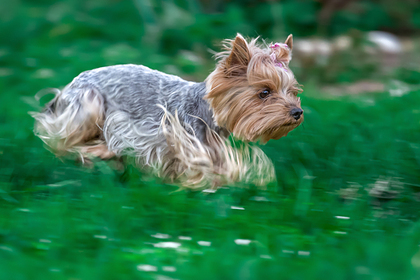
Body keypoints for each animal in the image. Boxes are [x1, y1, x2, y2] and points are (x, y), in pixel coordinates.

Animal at [32, 34, 302, 189]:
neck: (205, 112)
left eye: (292, 91)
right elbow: (212, 167)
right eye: (264, 92)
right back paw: (96, 152)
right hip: (89, 103)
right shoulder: (168, 138)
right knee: (60, 140)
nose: (297, 112)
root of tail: (71, 84)